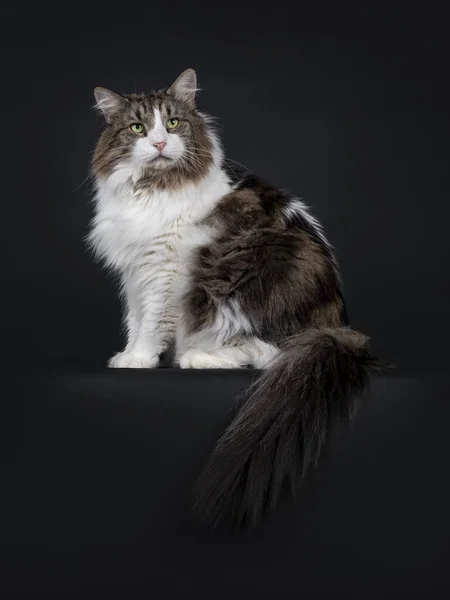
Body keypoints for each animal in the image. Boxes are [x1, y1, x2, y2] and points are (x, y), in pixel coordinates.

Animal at [89, 70, 386, 528]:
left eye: (172, 123)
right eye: (138, 128)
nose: (158, 143)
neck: (154, 188)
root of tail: (337, 328)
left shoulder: (165, 269)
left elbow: (153, 321)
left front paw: (140, 358)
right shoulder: (136, 270)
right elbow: (135, 319)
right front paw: (129, 354)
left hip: (241, 280)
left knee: (266, 353)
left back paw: (195, 357)